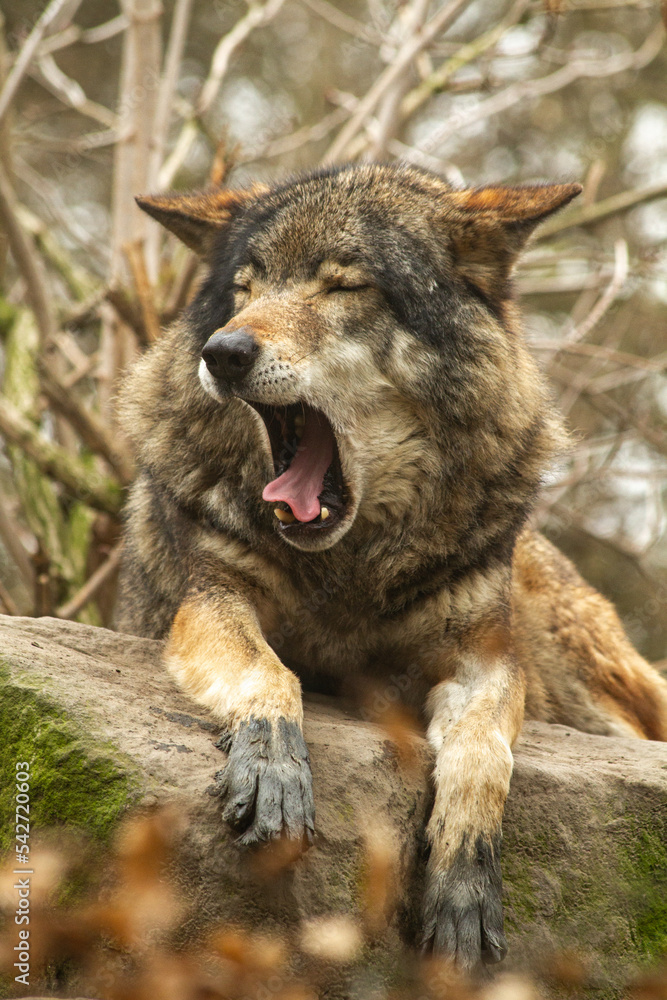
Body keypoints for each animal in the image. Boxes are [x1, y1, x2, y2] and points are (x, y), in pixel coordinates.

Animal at [116, 163, 667, 971]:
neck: (349, 573)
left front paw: (464, 878)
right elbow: (267, 672)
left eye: (344, 286)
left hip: (590, 682)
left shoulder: (489, 656)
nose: (223, 351)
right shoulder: (211, 600)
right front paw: (273, 765)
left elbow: (482, 755)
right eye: (245, 288)